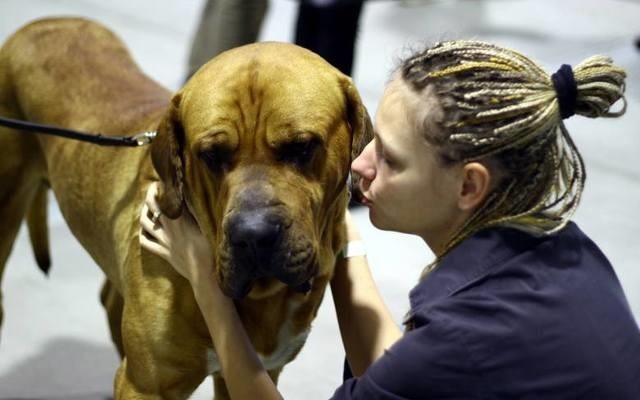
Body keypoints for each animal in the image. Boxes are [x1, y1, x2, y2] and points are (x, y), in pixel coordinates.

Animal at [0, 17, 370, 398]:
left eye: (302, 147)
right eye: (211, 155)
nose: (252, 235)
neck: (260, 299)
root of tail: (43, 22)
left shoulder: (257, 372)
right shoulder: (146, 385)